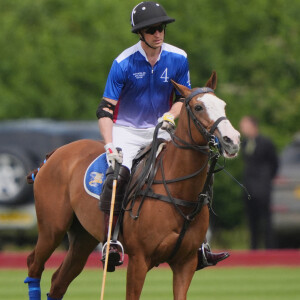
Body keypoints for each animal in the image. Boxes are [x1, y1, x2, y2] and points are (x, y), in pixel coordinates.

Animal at [24, 71, 239, 298]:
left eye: (223, 105)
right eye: (198, 107)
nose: (232, 140)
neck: (179, 192)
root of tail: (54, 153)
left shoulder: (185, 263)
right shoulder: (139, 259)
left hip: (82, 237)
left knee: (58, 281)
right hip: (52, 228)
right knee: (34, 264)